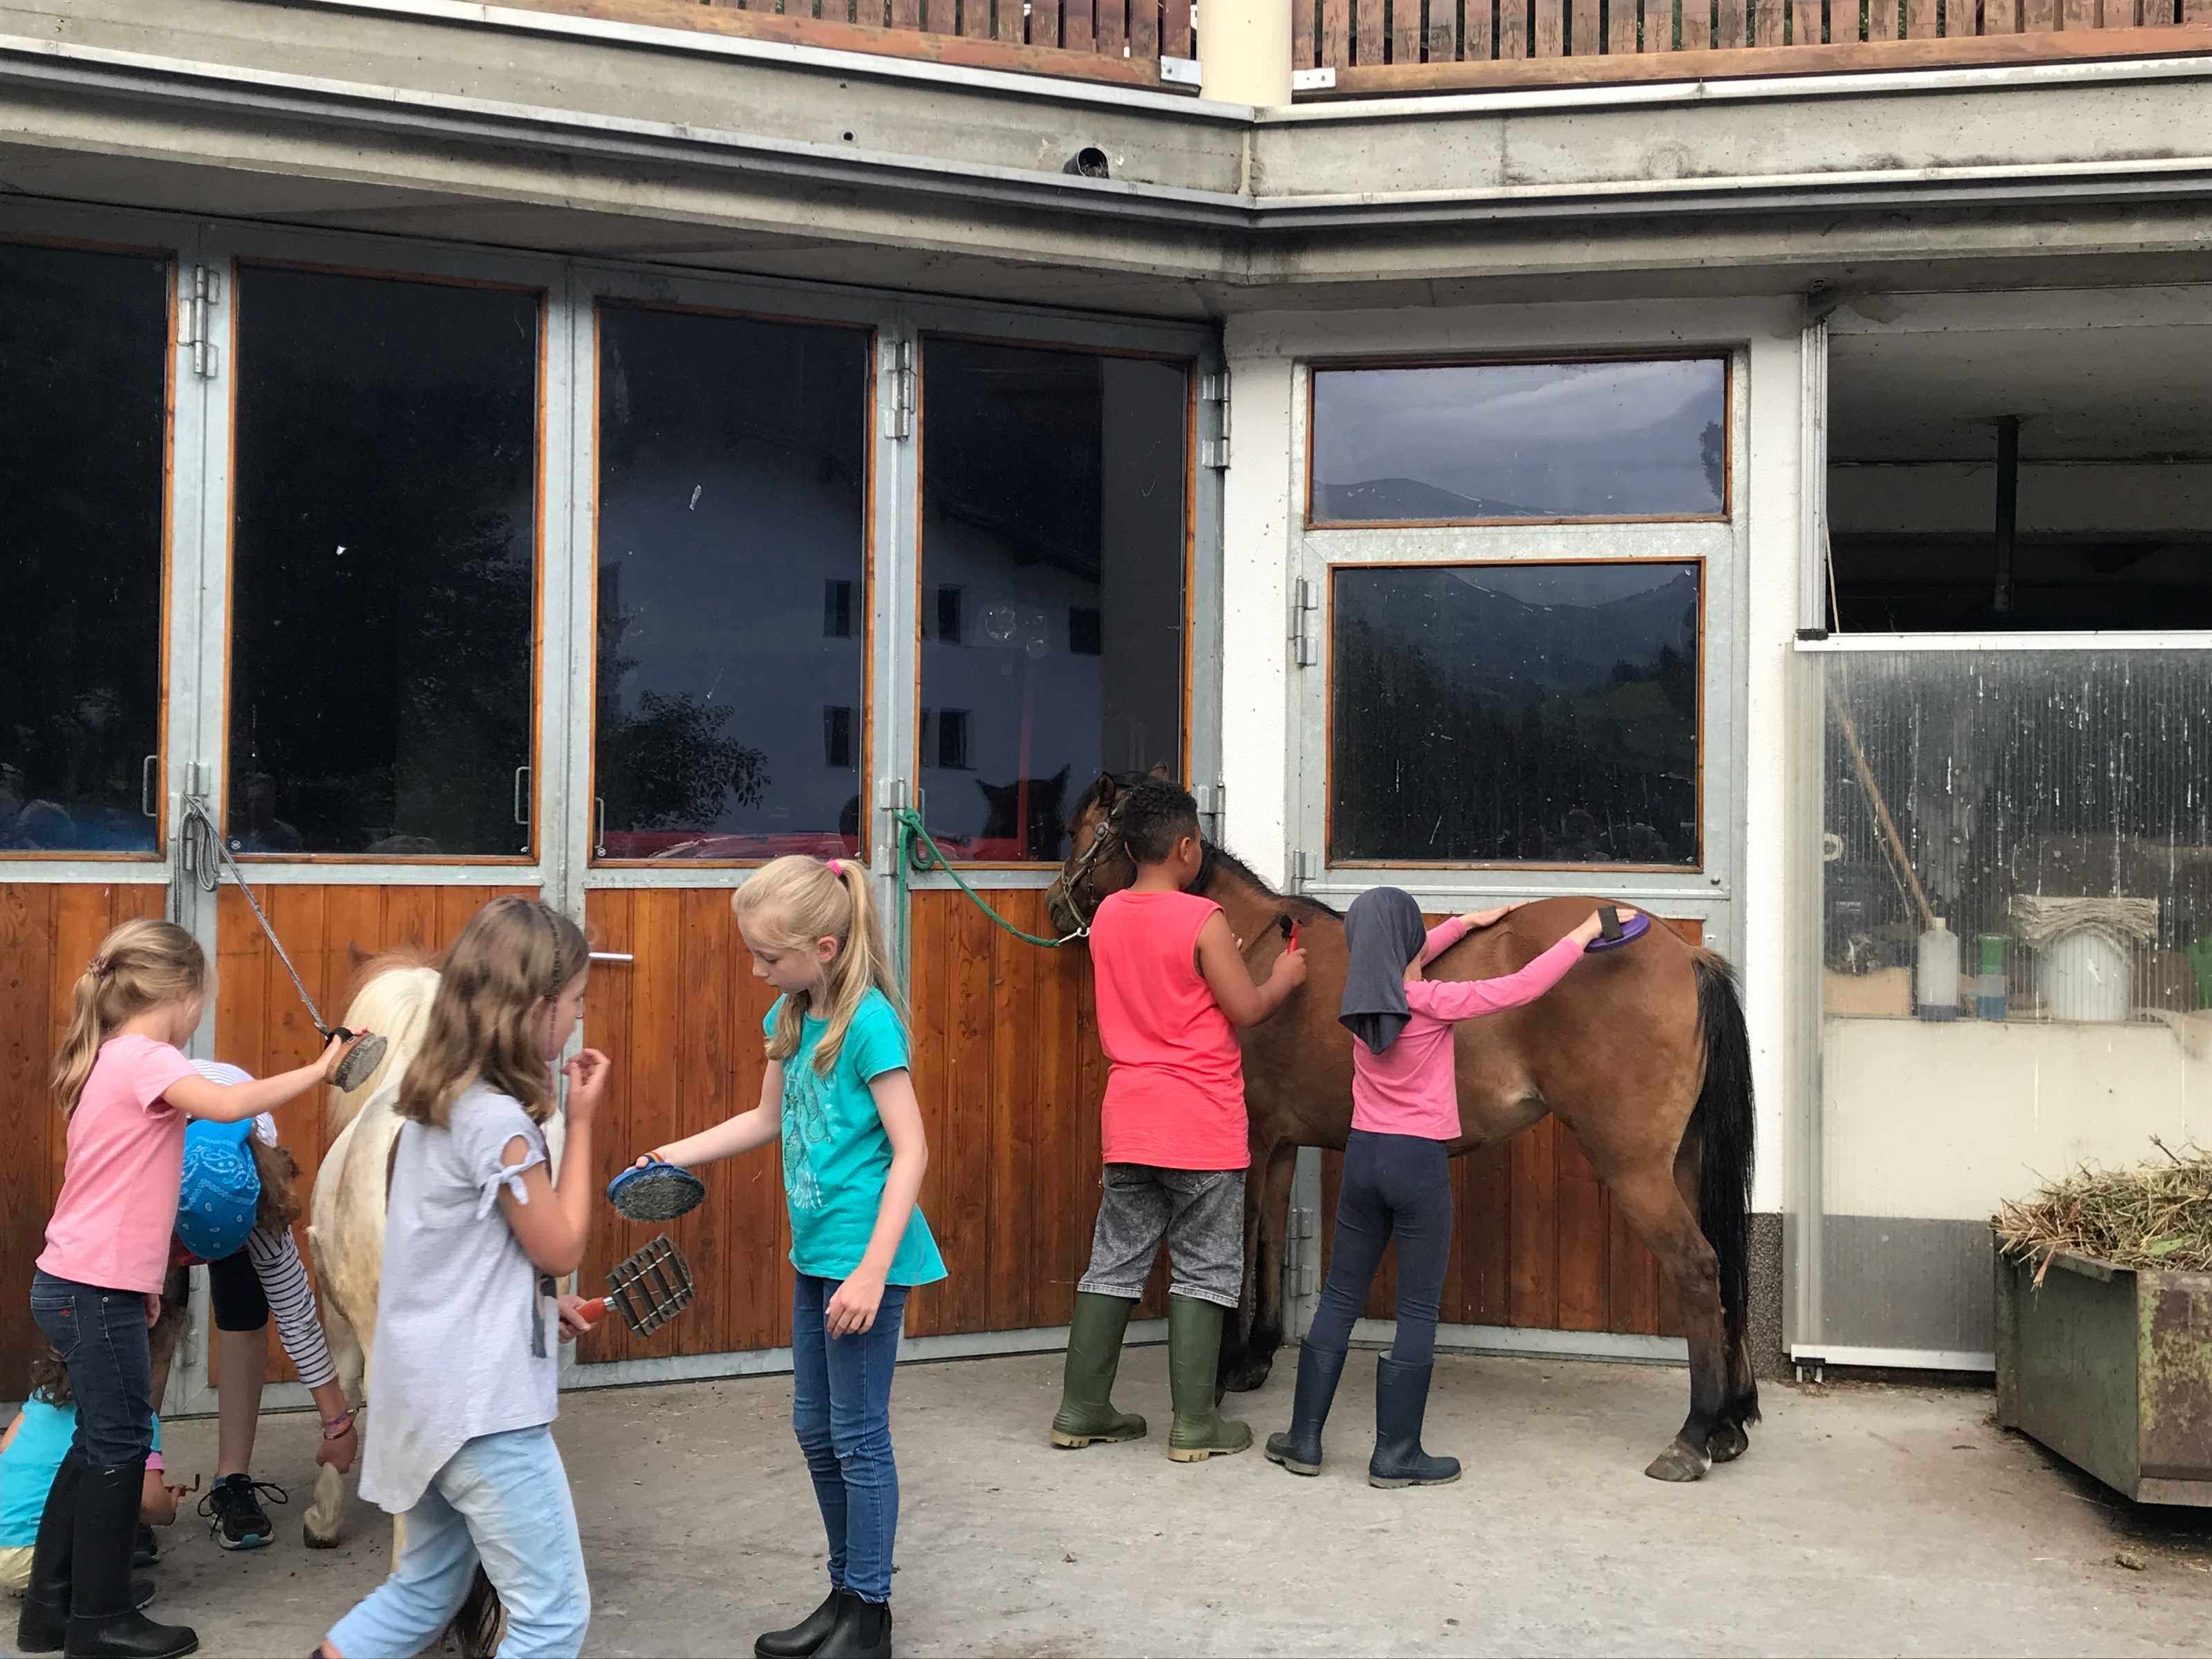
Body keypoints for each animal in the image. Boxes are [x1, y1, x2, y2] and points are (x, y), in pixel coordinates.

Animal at [1045, 770, 1758, 1484]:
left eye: (1081, 831)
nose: (1054, 906)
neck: (1251, 948)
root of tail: (1683, 954)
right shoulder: (1279, 1146)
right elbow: (1271, 1239)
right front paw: (1256, 1357)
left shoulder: (1245, 1143)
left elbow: (1236, 1250)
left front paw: (1223, 1370)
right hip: (1683, 1163)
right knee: (1726, 1263)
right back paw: (1730, 1423)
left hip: (1635, 1168)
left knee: (1698, 1267)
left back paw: (1695, 1434)